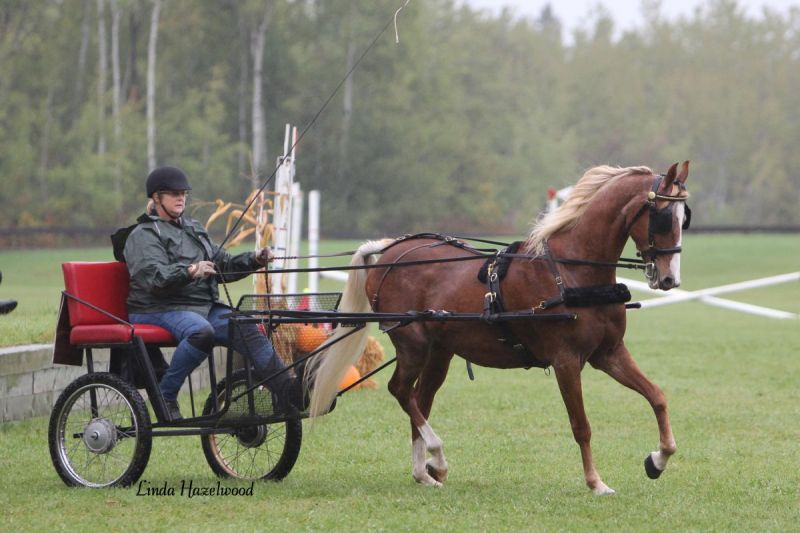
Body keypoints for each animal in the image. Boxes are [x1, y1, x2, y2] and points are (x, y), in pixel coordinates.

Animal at [308, 161, 691, 495]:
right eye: (661, 218)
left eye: (683, 218)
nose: (669, 279)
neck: (570, 272)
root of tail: (389, 250)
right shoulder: (566, 361)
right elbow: (581, 425)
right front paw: (596, 483)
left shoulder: (608, 354)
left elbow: (657, 397)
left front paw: (658, 459)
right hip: (412, 343)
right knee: (401, 391)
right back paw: (437, 458)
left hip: (439, 352)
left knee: (419, 399)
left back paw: (423, 472)